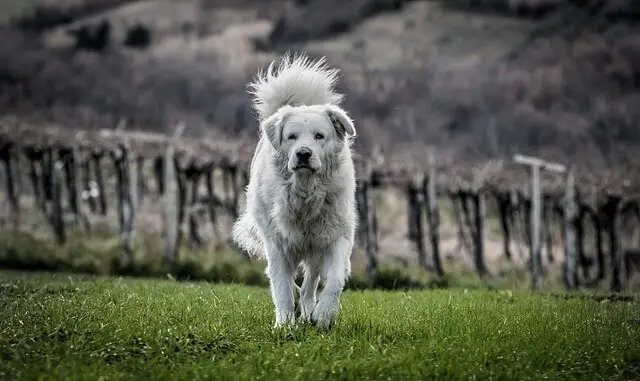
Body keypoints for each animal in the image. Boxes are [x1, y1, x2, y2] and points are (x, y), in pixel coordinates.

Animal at [231, 52, 360, 328]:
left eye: (319, 136)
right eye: (292, 137)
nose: (303, 154)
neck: (305, 192)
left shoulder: (336, 237)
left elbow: (334, 279)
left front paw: (324, 315)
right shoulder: (278, 243)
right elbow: (281, 285)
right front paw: (285, 323)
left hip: (316, 247)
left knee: (311, 280)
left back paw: (310, 309)